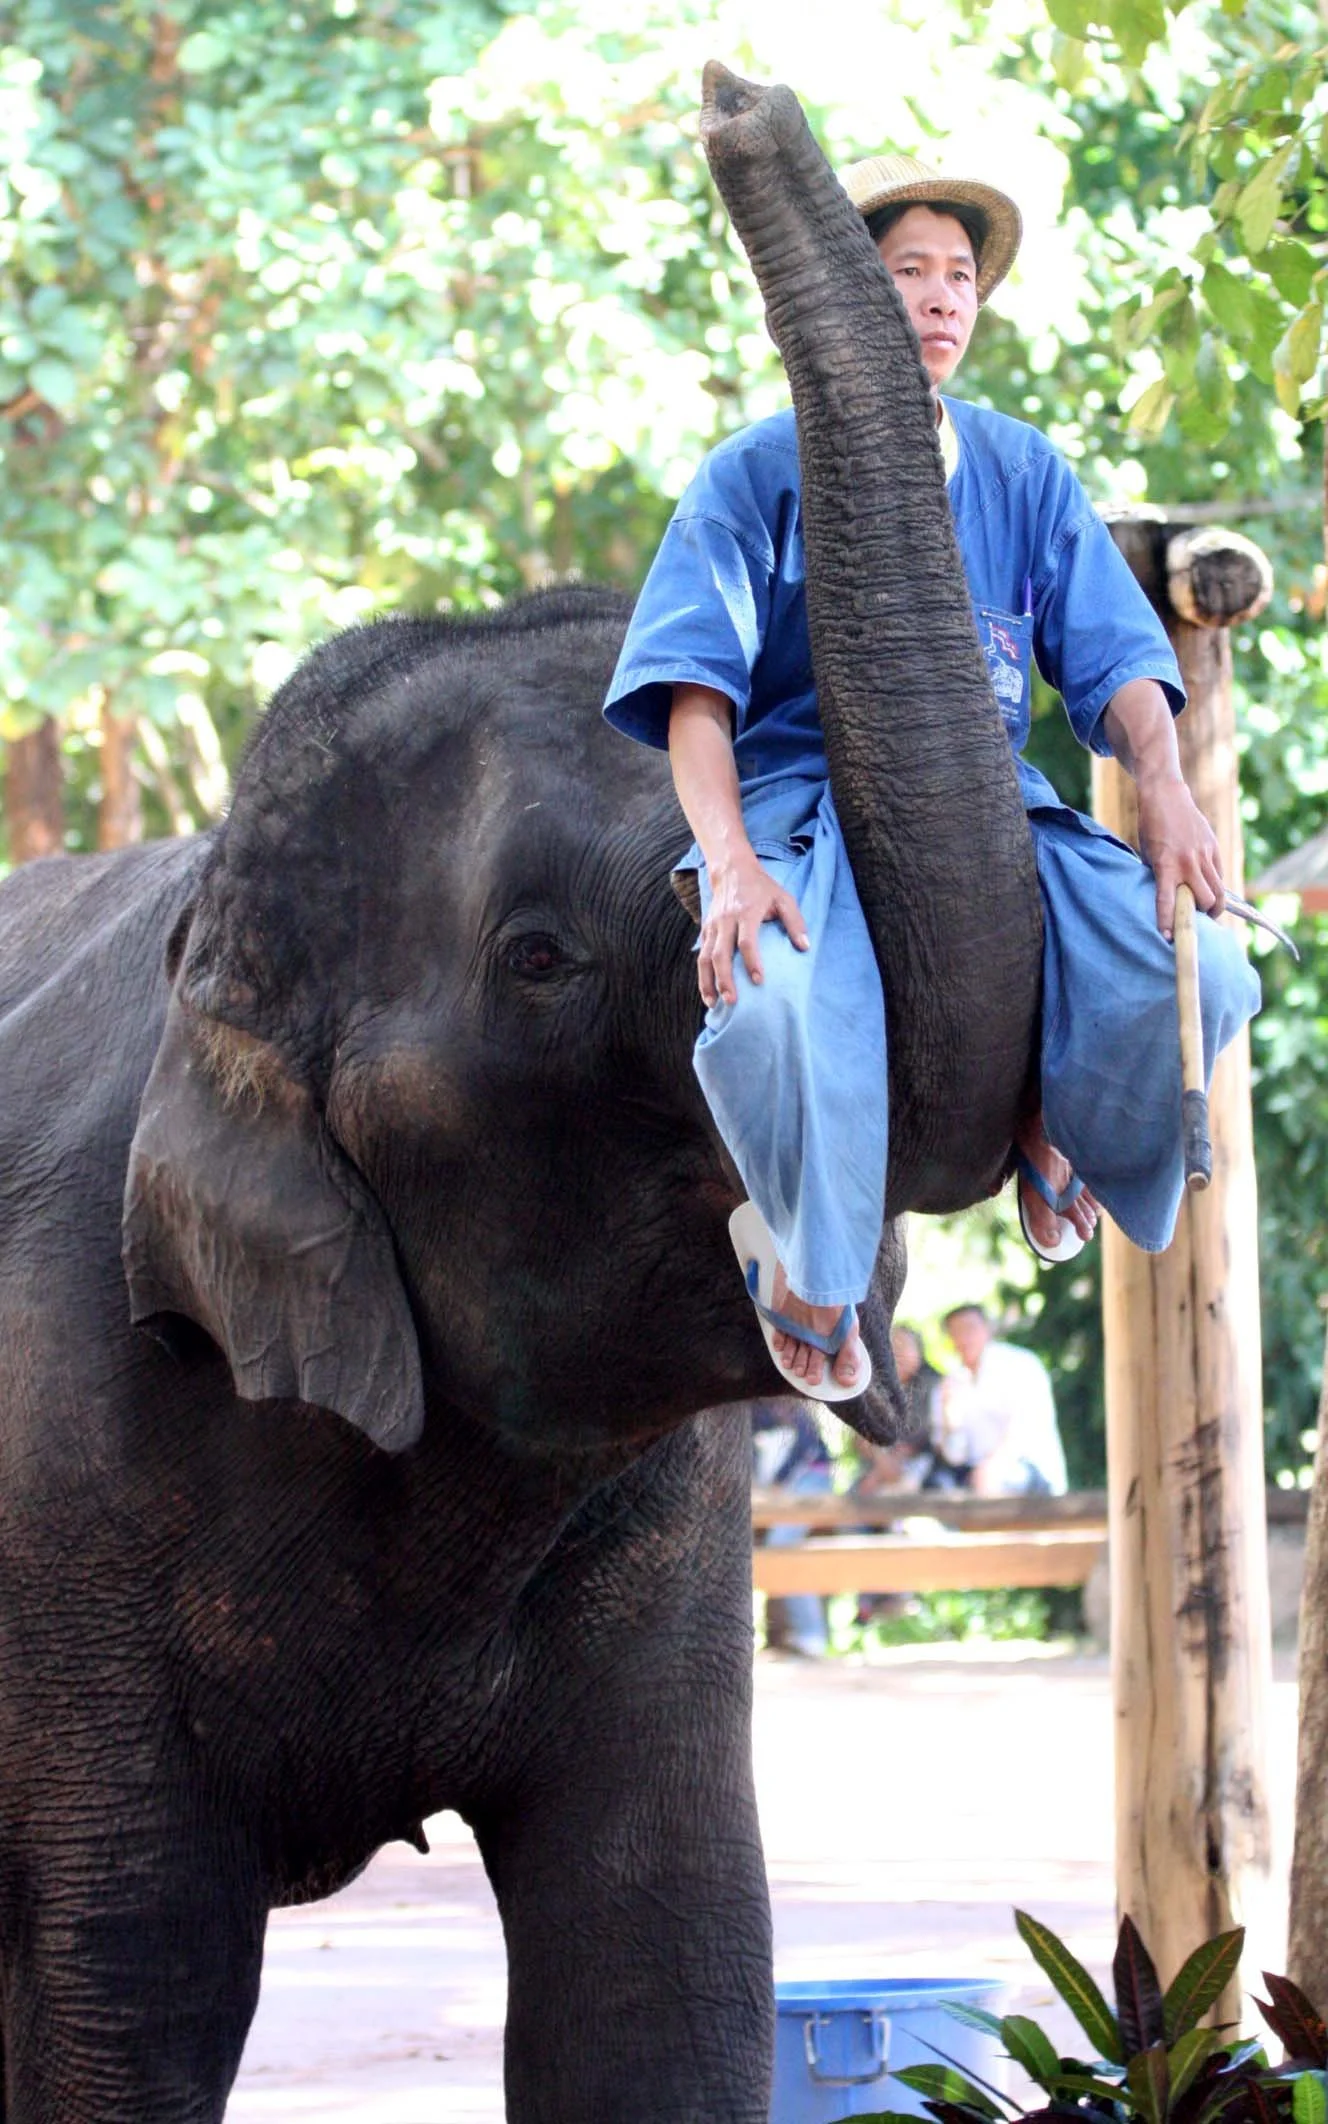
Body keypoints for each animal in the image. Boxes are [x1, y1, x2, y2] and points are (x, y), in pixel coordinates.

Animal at [0, 63, 1041, 2124]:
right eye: (541, 956)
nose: (733, 87)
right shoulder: (56, 1458)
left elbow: (660, 1966)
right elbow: (130, 1981)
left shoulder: (675, 1535)